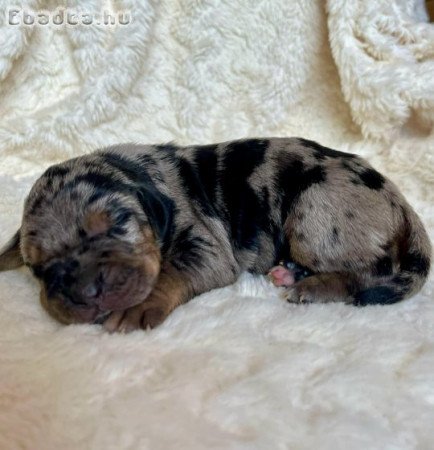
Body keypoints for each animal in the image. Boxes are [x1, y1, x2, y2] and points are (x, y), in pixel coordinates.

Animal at [0, 137, 428, 330]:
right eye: (39, 268)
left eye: (117, 223)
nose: (90, 292)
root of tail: (400, 200)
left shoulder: (204, 244)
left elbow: (169, 273)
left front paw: (134, 309)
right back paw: (290, 273)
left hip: (314, 212)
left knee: (371, 271)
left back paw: (312, 286)